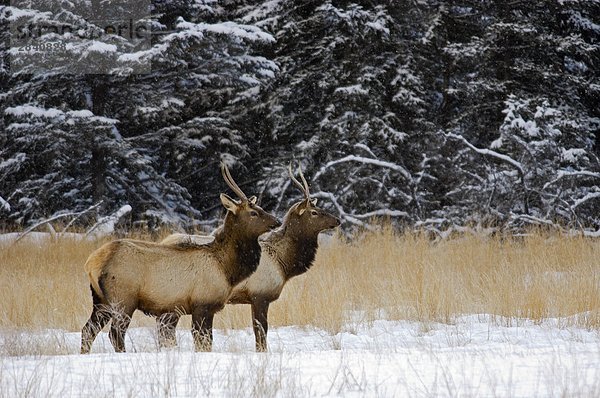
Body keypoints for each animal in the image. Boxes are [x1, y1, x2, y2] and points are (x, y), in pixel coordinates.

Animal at [79, 163, 282, 352]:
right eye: (254, 212)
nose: (277, 221)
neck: (227, 269)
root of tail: (91, 263)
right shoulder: (203, 304)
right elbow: (203, 341)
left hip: (101, 300)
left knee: (88, 330)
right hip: (122, 299)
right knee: (115, 333)